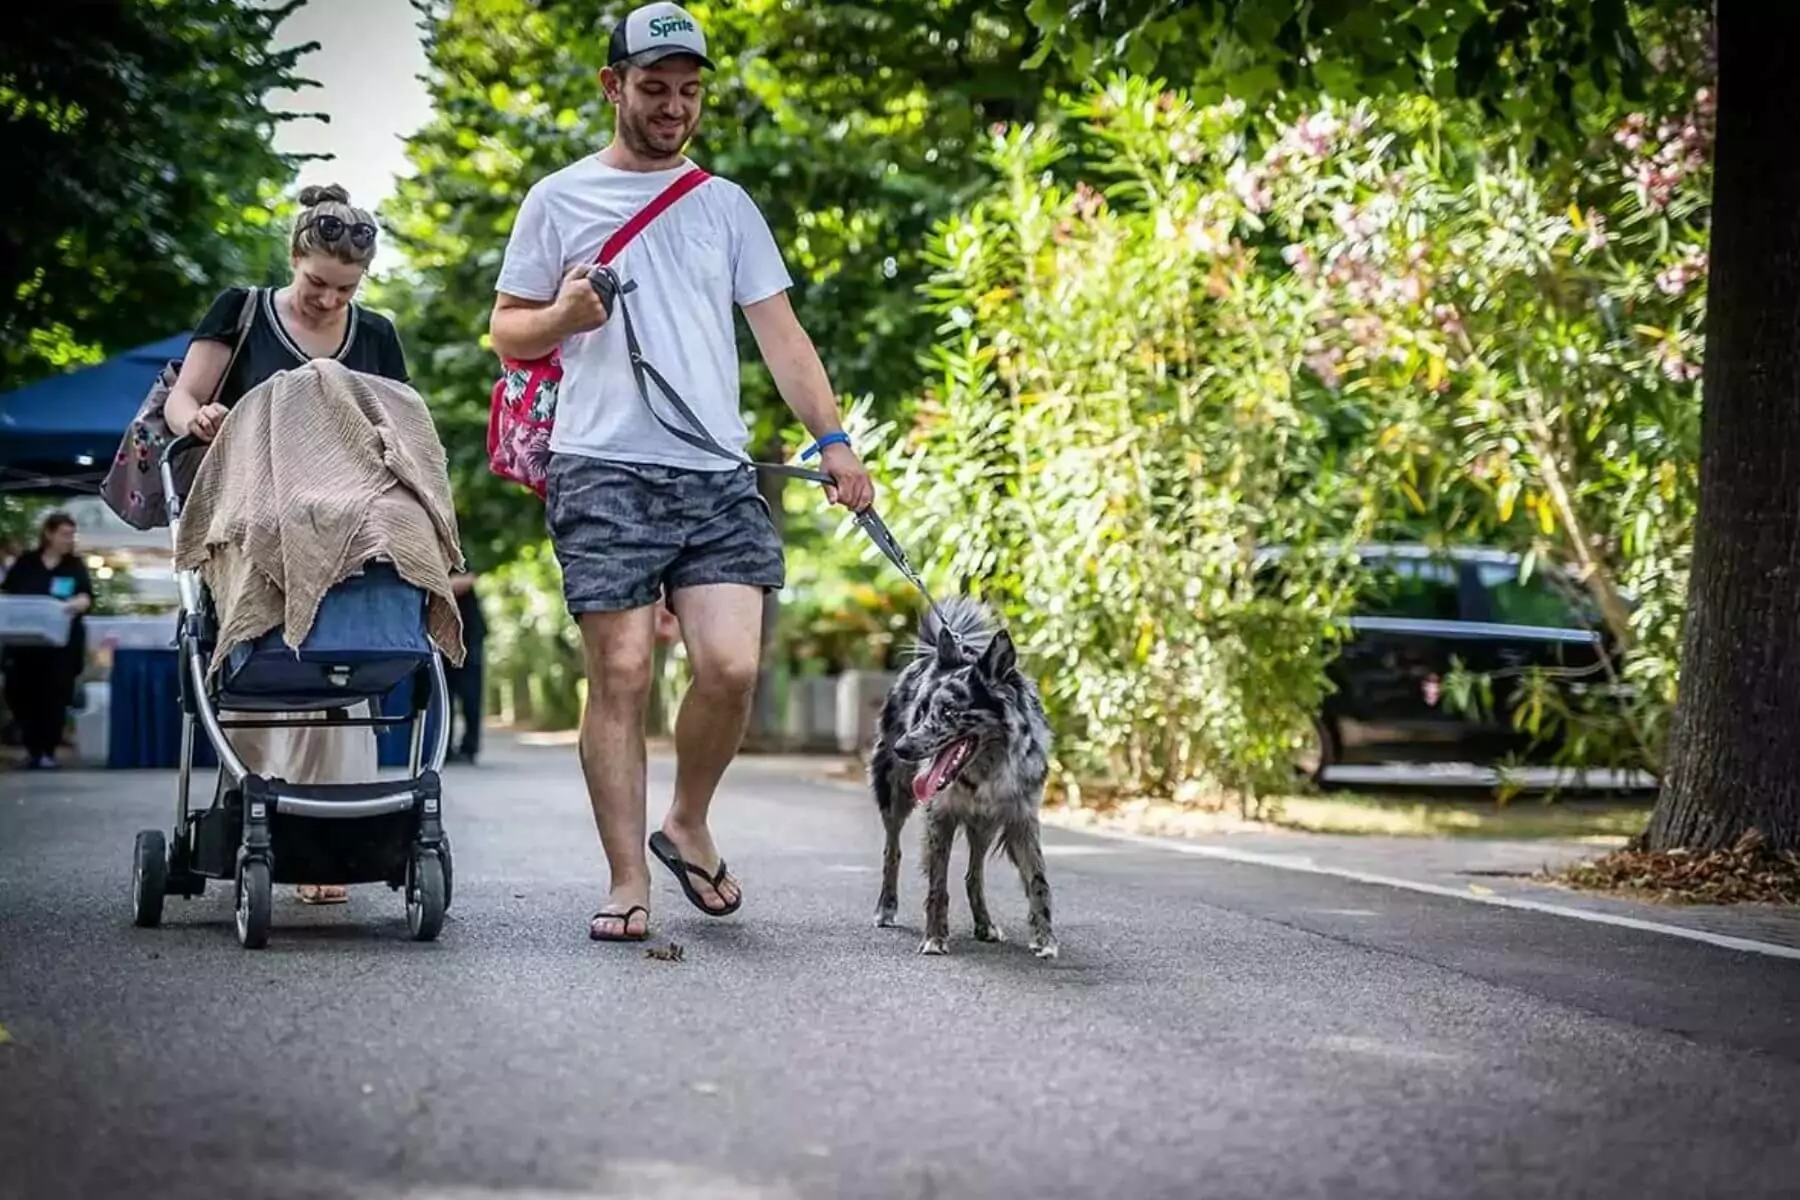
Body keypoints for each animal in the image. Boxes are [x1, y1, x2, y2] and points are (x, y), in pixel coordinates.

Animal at [867, 597, 1051, 964]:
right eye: (921, 711)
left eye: (950, 712)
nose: (902, 748)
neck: (987, 770)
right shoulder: (941, 815)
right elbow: (937, 883)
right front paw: (935, 938)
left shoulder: (1021, 818)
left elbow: (1038, 879)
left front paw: (1045, 940)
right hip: (893, 794)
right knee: (892, 851)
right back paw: (886, 908)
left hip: (985, 825)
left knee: (973, 875)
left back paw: (985, 925)